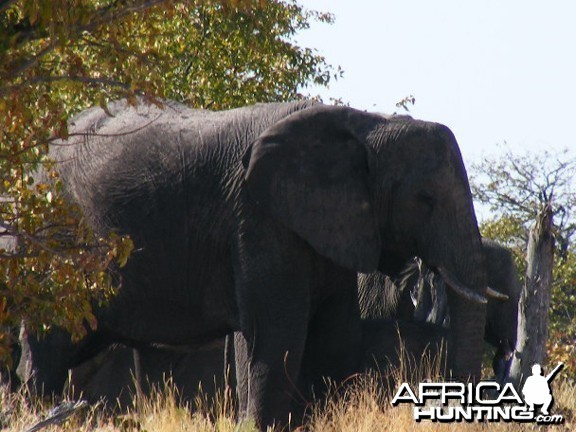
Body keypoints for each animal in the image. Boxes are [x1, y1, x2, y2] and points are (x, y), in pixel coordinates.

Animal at [20, 98, 492, 428]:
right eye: (424, 200)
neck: (368, 123)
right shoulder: (258, 218)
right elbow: (275, 332)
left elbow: (335, 333)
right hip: (54, 243)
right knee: (49, 347)